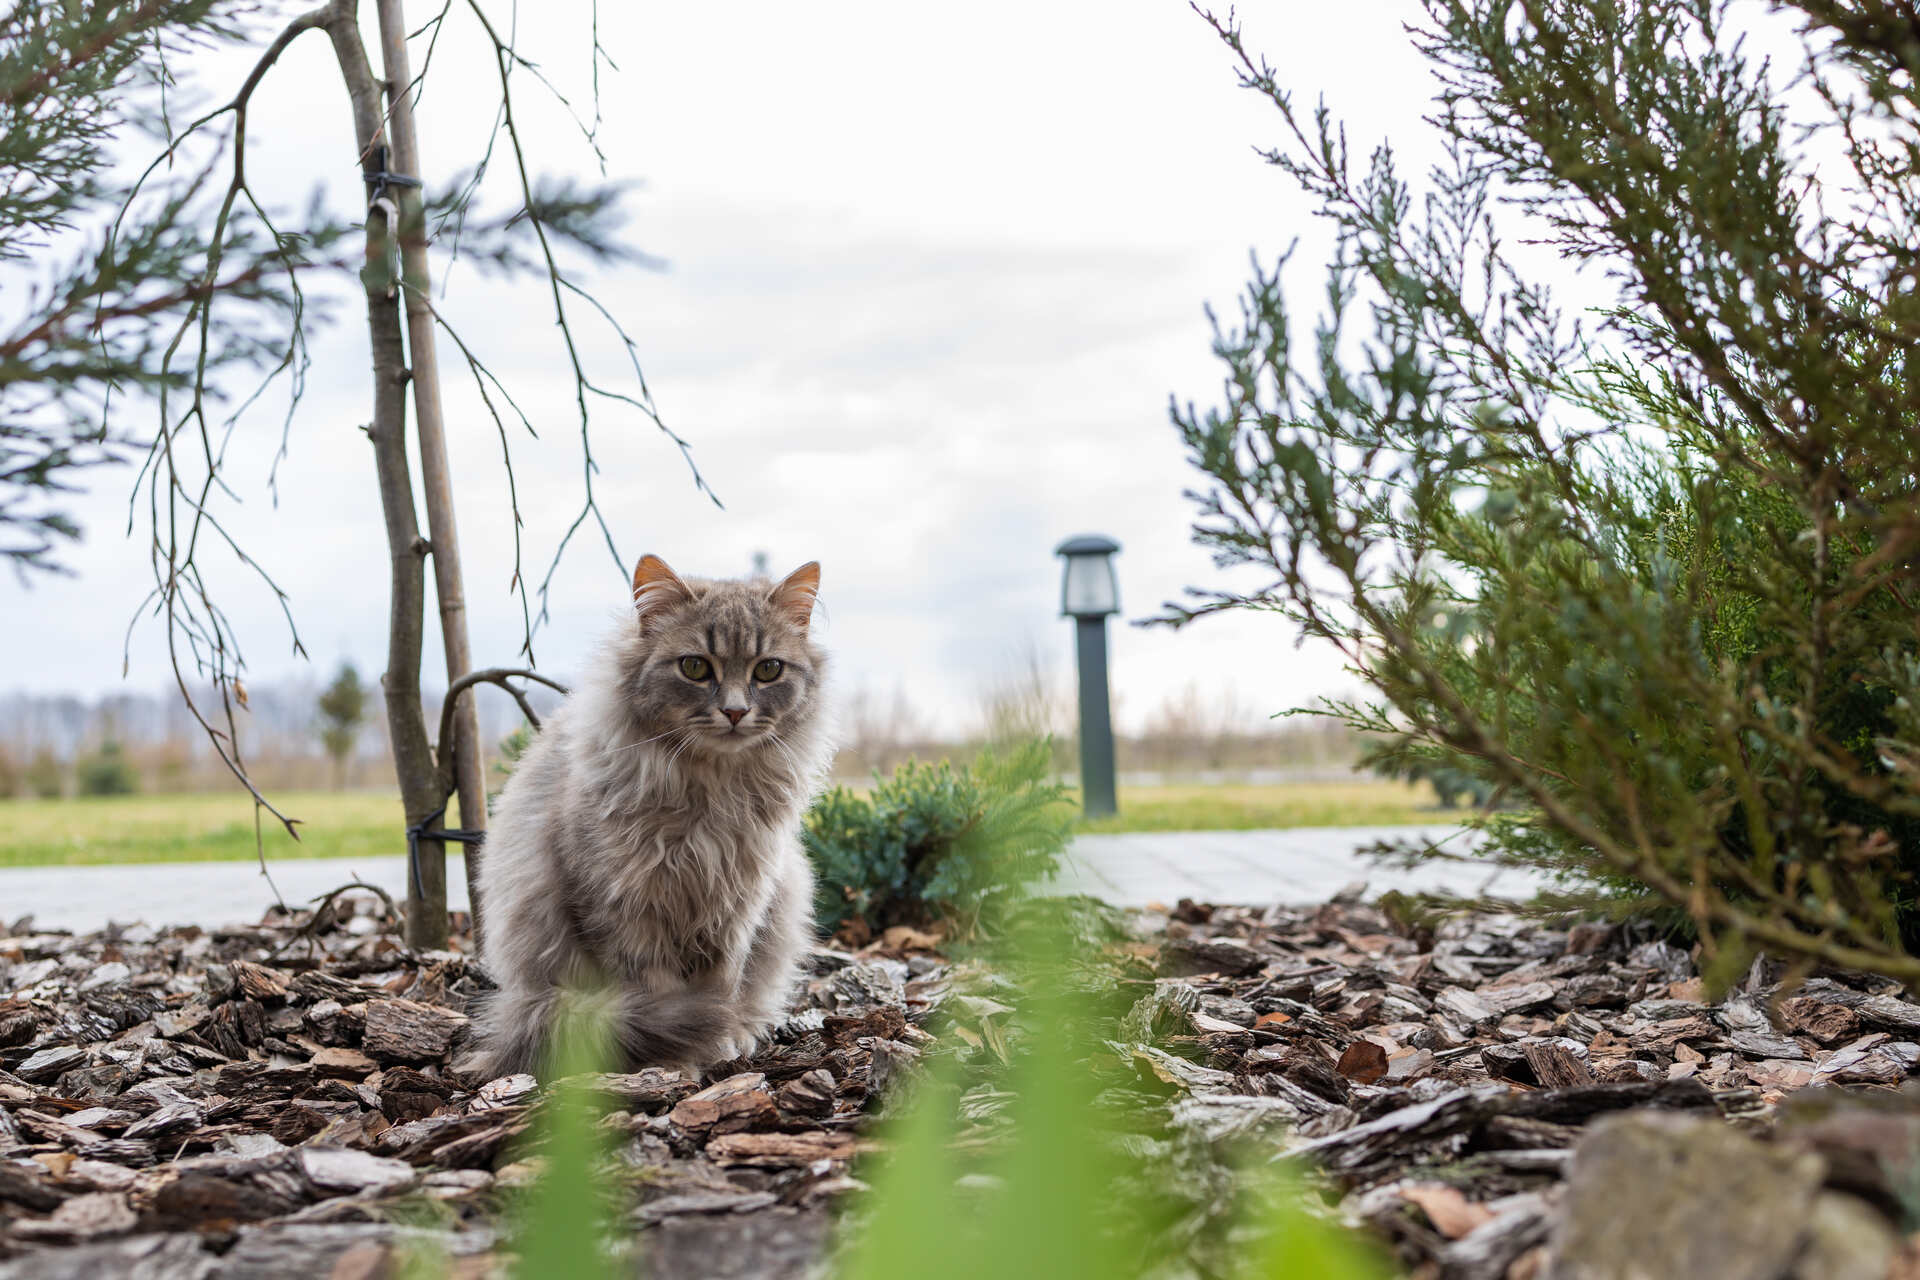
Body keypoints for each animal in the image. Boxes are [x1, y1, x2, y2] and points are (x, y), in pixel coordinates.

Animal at [474, 556, 833, 1074]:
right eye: (695, 667)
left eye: (768, 670)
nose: (735, 711)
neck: (711, 791)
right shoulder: (621, 908)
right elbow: (660, 993)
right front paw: (684, 1058)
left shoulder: (738, 907)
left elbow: (721, 983)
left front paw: (721, 1042)